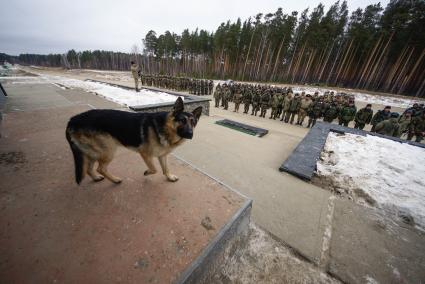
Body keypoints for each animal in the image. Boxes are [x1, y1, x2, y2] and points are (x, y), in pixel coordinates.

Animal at [65, 97, 201, 185]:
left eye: (193, 122)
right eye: (182, 120)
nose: (190, 134)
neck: (165, 128)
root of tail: (73, 120)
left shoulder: (162, 155)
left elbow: (165, 168)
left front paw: (169, 177)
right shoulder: (145, 154)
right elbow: (154, 169)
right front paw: (147, 172)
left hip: (95, 152)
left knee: (89, 169)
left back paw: (96, 178)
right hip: (108, 151)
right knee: (101, 168)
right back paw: (115, 180)